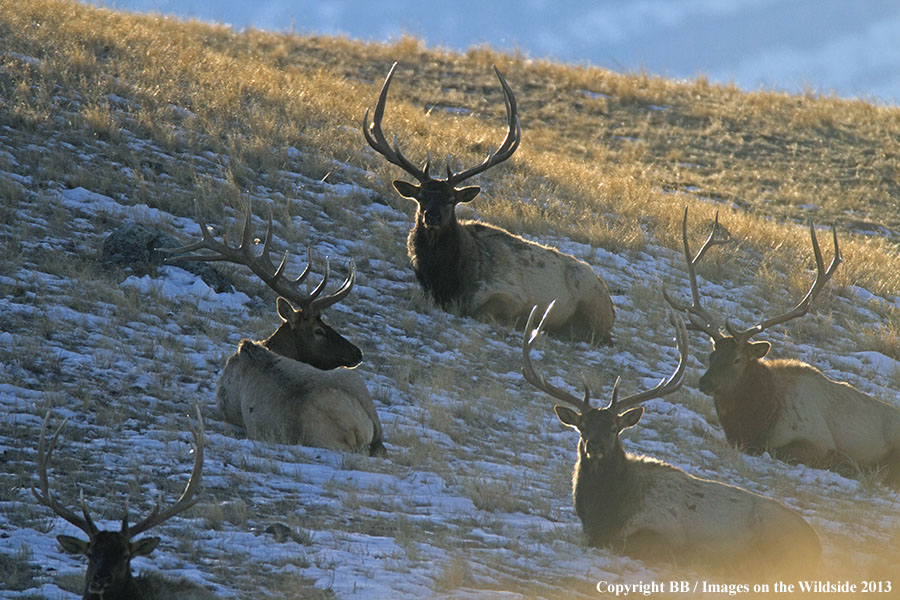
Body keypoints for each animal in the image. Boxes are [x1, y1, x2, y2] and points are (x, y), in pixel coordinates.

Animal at [362, 63, 616, 344]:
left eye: (451, 199)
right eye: (421, 197)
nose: (432, 216)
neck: (449, 280)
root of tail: (611, 302)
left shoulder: (511, 296)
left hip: (591, 305)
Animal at [520, 304, 824, 576]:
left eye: (614, 428)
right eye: (582, 427)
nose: (594, 445)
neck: (605, 512)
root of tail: (816, 545)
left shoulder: (664, 533)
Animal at [660, 207, 900, 488]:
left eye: (737, 359)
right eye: (712, 355)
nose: (704, 382)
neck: (756, 418)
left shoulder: (816, 439)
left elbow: (780, 451)